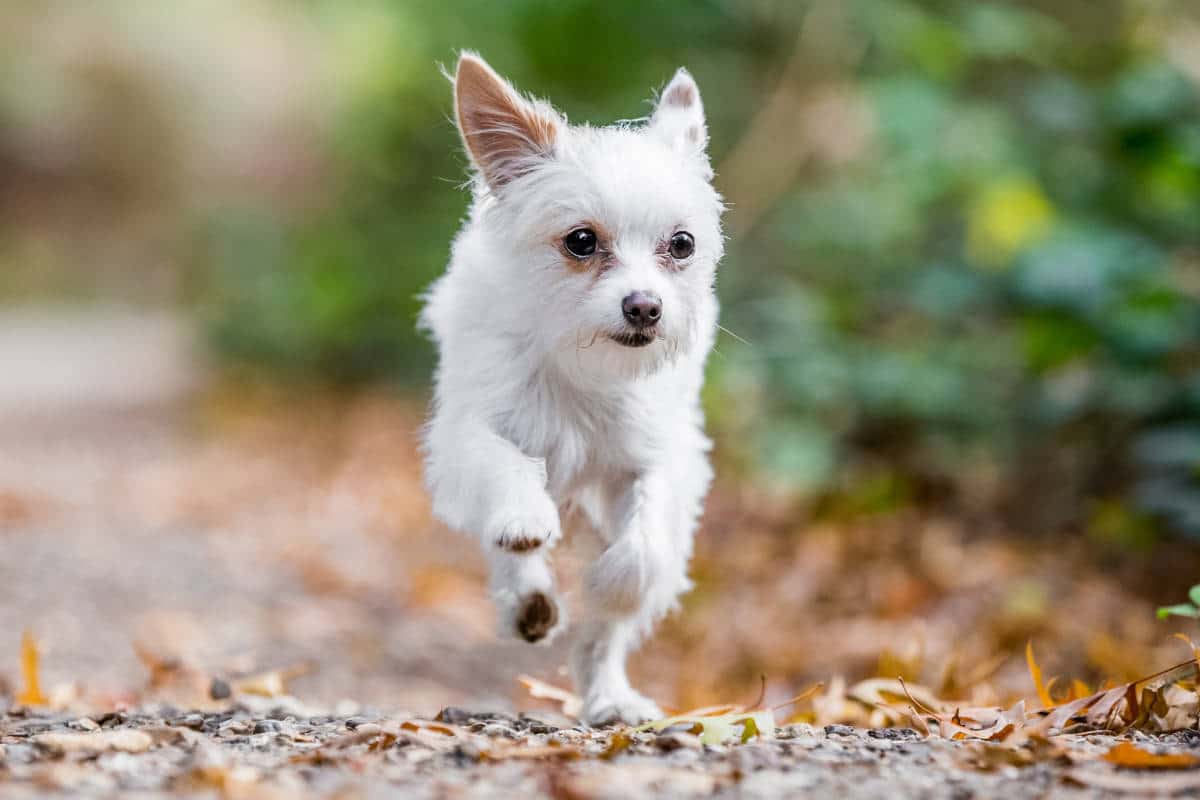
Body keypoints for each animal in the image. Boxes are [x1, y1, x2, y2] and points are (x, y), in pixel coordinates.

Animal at [422, 50, 720, 724]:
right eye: (581, 241)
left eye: (681, 244)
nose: (645, 307)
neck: (580, 366)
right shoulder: (467, 434)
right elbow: (504, 468)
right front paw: (524, 524)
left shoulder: (658, 457)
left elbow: (641, 556)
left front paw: (609, 584)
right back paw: (527, 598)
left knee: (607, 632)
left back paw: (608, 695)